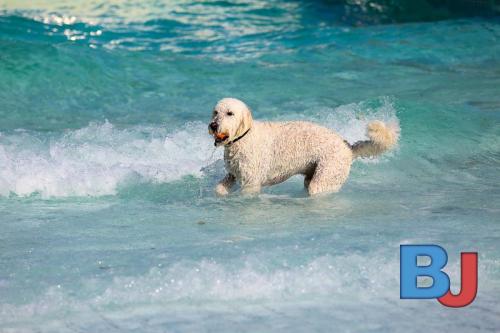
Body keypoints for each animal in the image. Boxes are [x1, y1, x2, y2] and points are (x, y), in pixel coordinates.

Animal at [207, 96, 398, 195]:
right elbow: (220, 187)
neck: (243, 137)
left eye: (230, 113)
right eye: (215, 112)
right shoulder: (233, 174)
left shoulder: (251, 182)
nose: (213, 125)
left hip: (327, 173)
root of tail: (347, 147)